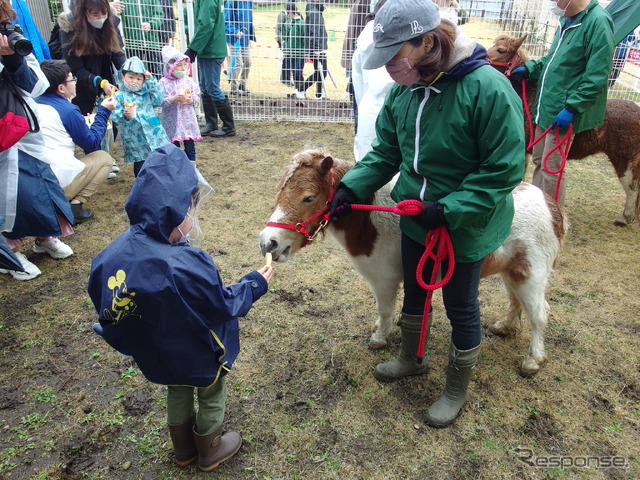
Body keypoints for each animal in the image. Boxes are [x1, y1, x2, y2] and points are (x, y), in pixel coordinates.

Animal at [258, 149, 568, 376]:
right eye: (280, 193)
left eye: (308, 197)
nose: (268, 243)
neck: (370, 218)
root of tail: (553, 208)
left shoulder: (384, 280)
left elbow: (385, 310)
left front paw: (379, 338)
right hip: (512, 271)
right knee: (516, 301)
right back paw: (504, 327)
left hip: (531, 275)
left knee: (539, 314)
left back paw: (533, 361)